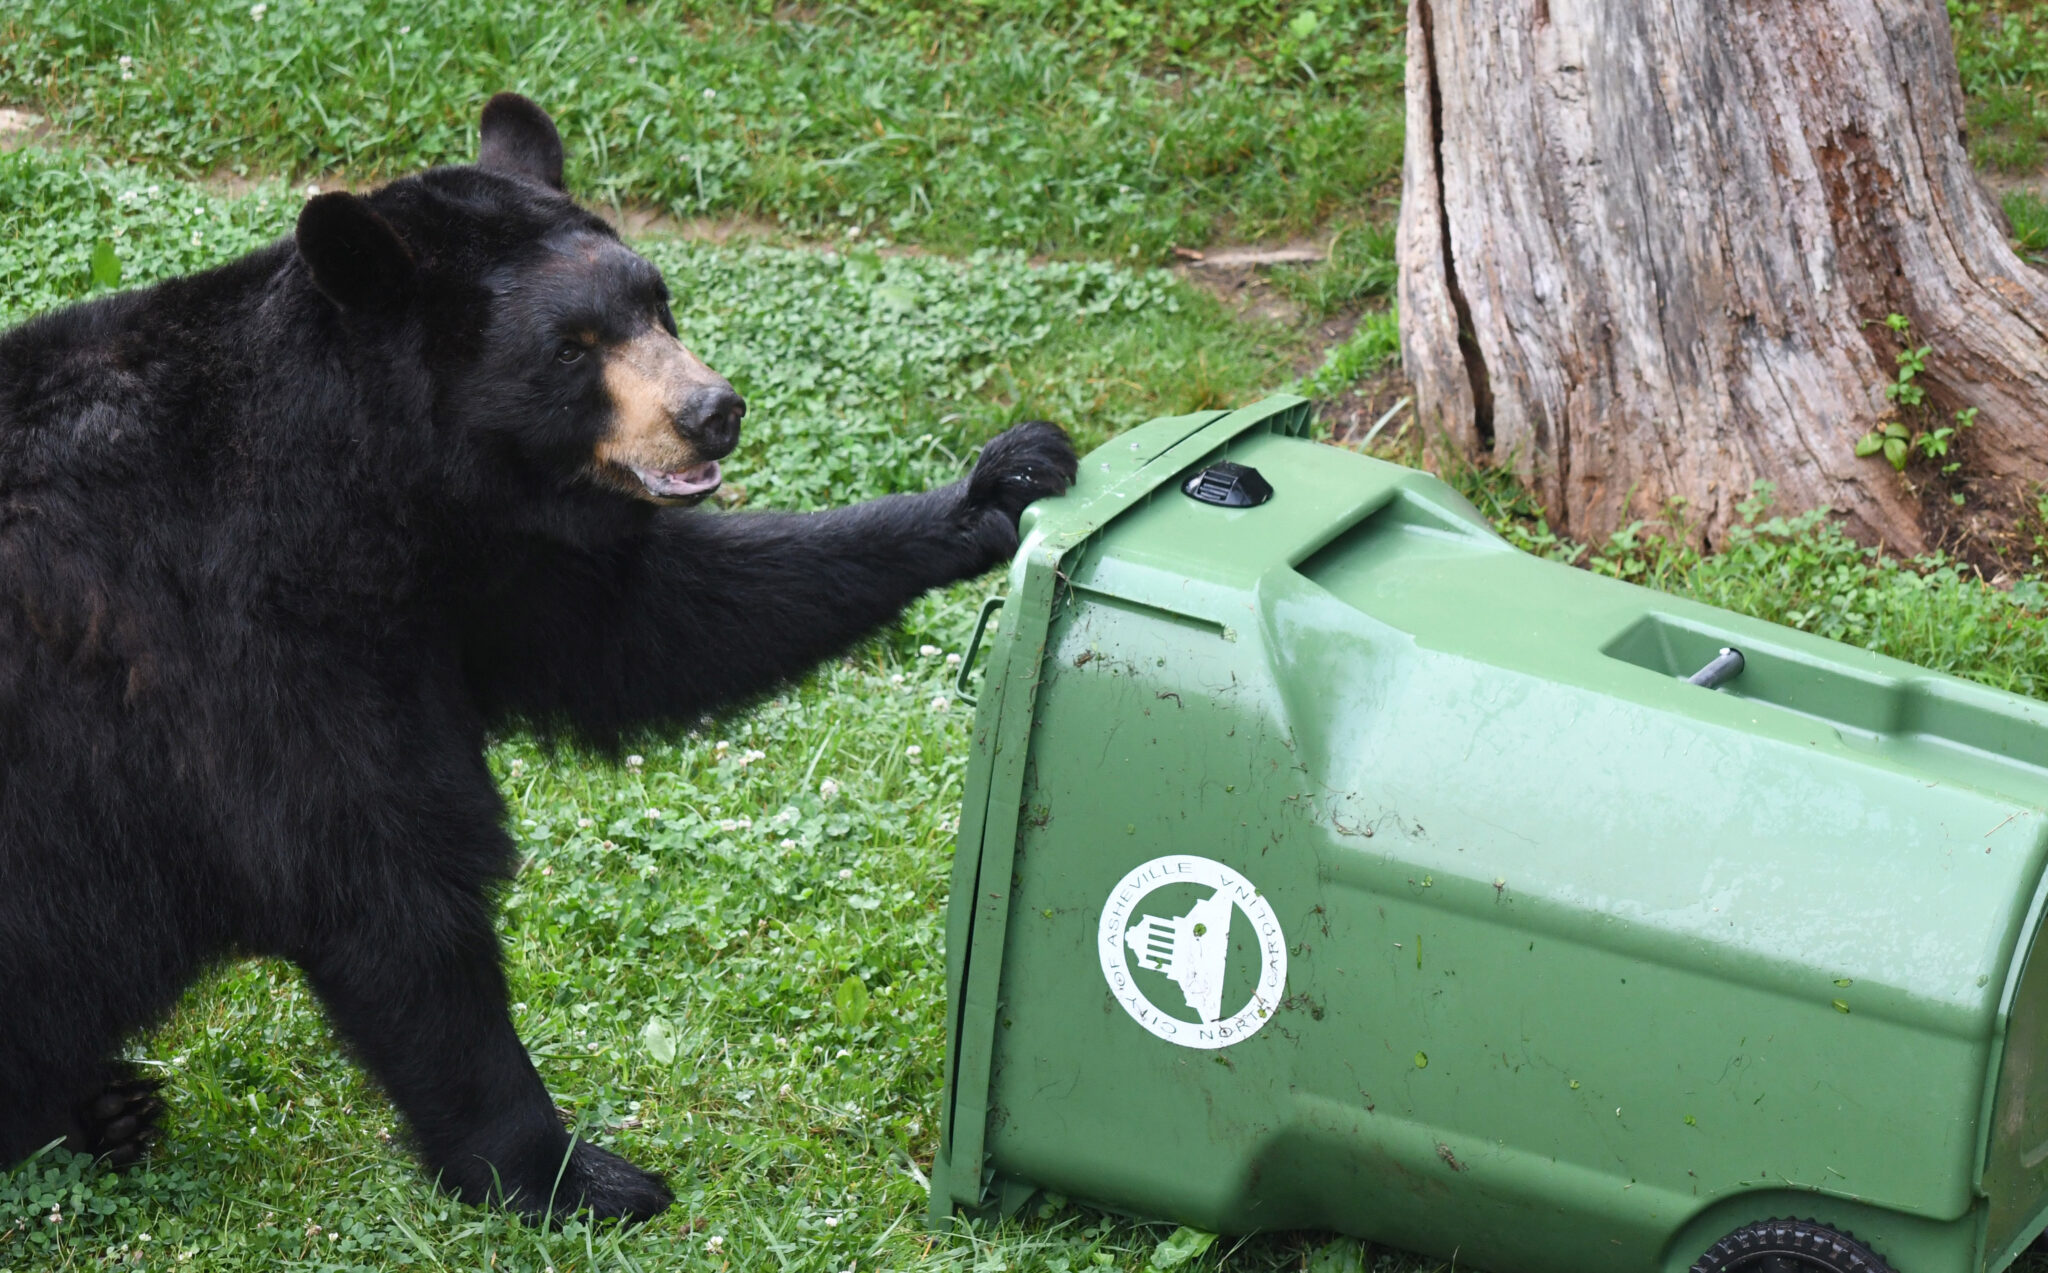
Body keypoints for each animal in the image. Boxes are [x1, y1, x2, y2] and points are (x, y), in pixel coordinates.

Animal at [0, 94, 1081, 1219]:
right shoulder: (231, 636)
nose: (713, 411)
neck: (354, 483)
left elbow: (648, 625)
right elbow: (376, 874)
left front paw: (996, 485)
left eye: (659, 305)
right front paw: (567, 1170)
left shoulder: (468, 569)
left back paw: (108, 1110)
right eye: (570, 345)